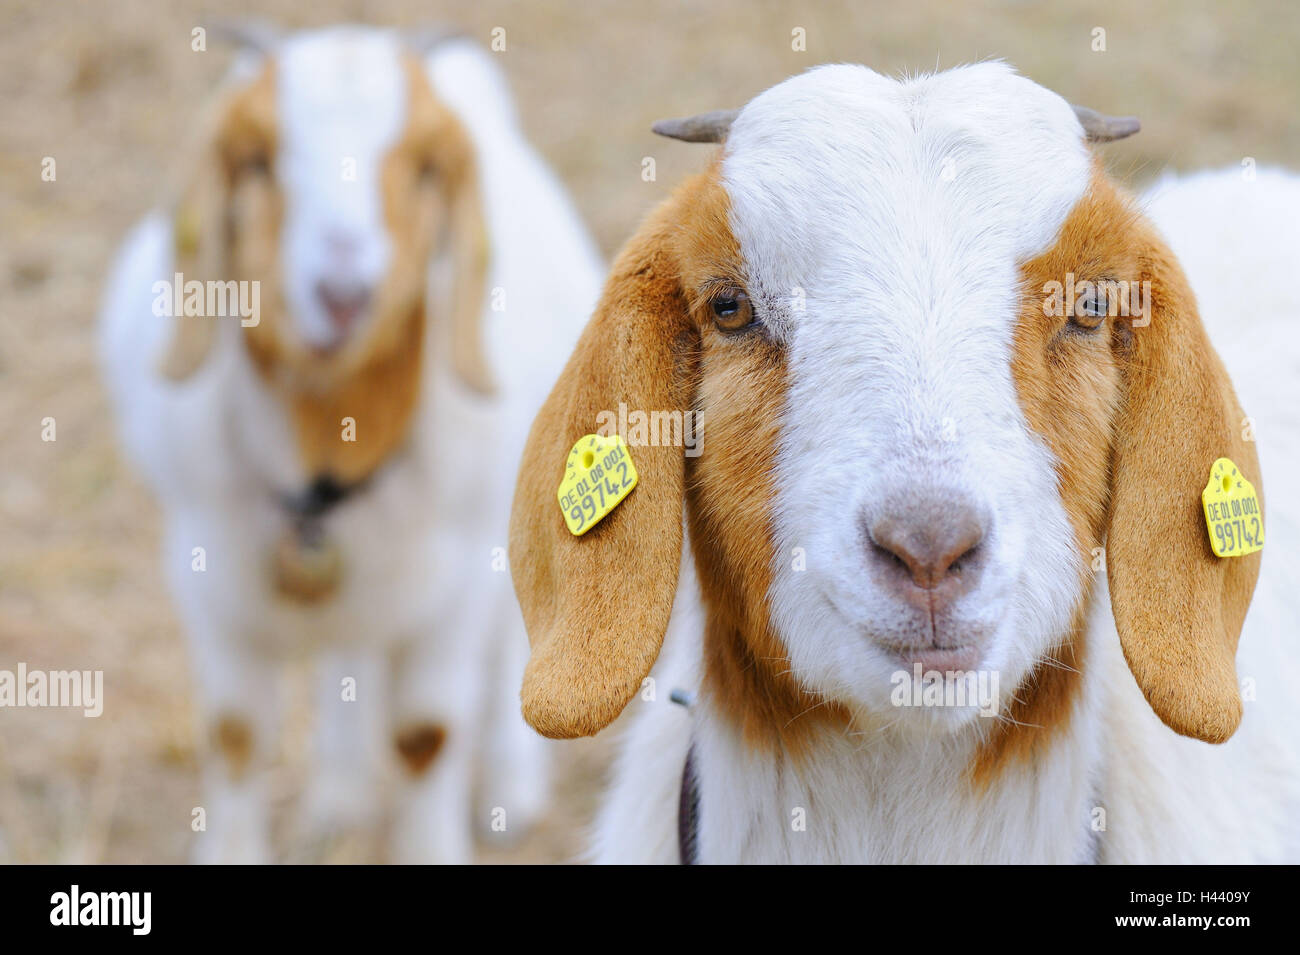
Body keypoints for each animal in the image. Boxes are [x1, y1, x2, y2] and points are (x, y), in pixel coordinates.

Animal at [101, 22, 603, 862]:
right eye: (257, 159)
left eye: (426, 168)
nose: (343, 296)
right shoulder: (209, 577)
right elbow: (235, 733)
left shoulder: (453, 582)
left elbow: (426, 734)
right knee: (347, 655)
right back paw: (337, 797)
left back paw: (509, 793)